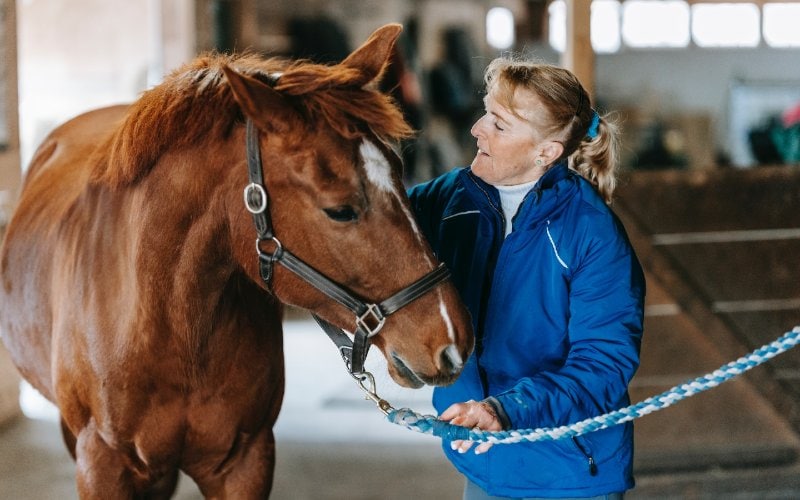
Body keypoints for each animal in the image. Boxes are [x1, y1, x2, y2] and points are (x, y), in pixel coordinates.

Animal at [0, 25, 472, 498]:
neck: (169, 327)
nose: (454, 342)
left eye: (402, 179)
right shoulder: (101, 466)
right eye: (340, 210)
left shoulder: (247, 461)